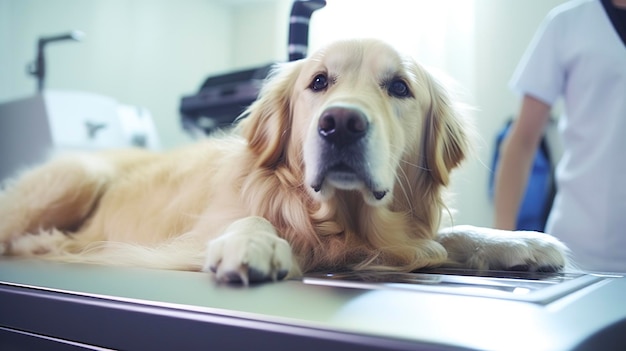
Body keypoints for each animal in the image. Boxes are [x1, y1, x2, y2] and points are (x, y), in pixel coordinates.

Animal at [0, 39, 564, 286]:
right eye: (319, 82)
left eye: (400, 87)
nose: (341, 124)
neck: (340, 222)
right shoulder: (200, 228)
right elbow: (249, 217)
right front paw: (254, 242)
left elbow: (454, 235)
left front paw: (521, 241)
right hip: (79, 174)